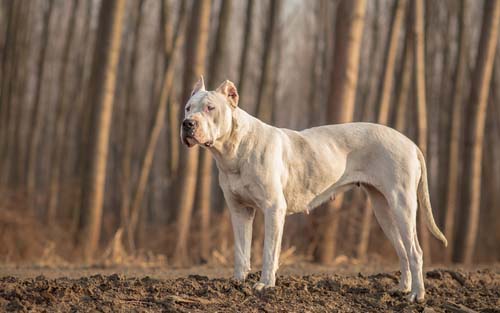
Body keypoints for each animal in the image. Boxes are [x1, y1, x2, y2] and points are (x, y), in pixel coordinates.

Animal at [182, 75, 448, 300]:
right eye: (188, 107)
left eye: (210, 108)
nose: (187, 124)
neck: (233, 149)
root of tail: (410, 143)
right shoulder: (239, 211)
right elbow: (240, 250)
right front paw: (237, 282)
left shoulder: (273, 209)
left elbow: (269, 251)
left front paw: (265, 285)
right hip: (383, 209)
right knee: (403, 250)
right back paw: (402, 289)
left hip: (402, 205)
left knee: (415, 251)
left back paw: (416, 295)